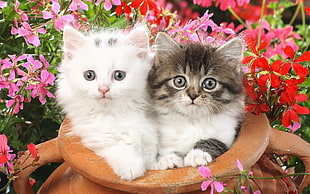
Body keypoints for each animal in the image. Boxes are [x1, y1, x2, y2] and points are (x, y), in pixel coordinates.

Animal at [56, 25, 157, 180]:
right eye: (89, 75)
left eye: (119, 75)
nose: (103, 89)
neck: (117, 113)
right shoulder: (94, 134)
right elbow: (117, 146)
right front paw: (131, 168)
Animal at [148, 32, 245, 169]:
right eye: (179, 81)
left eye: (210, 83)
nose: (193, 95)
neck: (193, 121)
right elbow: (166, 151)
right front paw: (168, 159)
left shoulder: (228, 134)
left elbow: (214, 141)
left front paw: (197, 155)